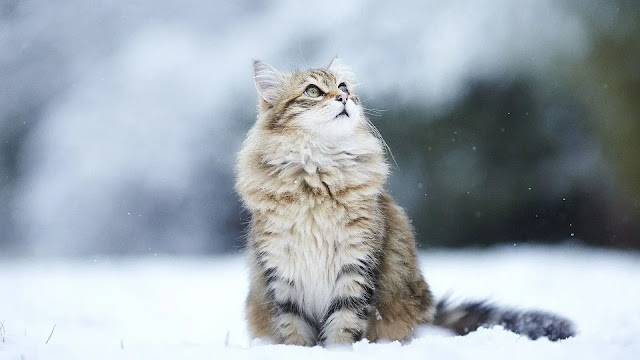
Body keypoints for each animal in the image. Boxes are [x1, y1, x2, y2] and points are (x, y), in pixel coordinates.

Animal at [235, 58, 576, 346]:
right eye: (313, 91)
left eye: (343, 87)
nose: (343, 98)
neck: (317, 178)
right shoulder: (281, 271)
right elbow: (294, 330)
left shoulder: (356, 265)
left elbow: (344, 326)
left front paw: (338, 351)